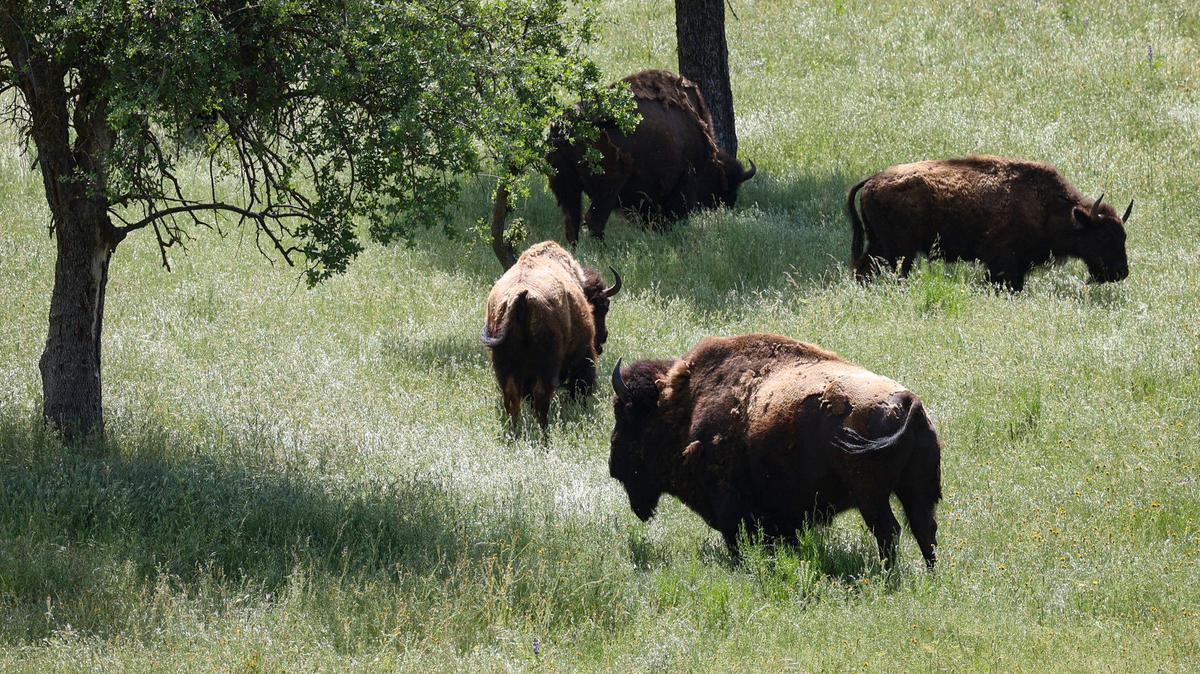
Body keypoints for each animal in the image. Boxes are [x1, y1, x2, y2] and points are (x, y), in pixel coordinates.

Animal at [482, 241, 621, 429]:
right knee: (541, 394)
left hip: (504, 360)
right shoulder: (583, 351)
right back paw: (544, 429)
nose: (604, 337)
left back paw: (515, 429)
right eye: (603, 307)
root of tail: (521, 296)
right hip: (547, 362)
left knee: (512, 396)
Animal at [547, 69, 756, 244]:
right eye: (727, 187)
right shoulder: (684, 184)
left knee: (572, 221)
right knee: (594, 220)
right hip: (608, 187)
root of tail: (568, 124)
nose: (729, 206)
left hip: (567, 186)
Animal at [609, 333, 942, 568]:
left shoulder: (733, 506)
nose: (613, 466)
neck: (685, 406)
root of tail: (907, 402)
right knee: (924, 529)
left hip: (870, 495)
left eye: (626, 416)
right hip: (915, 490)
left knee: (889, 531)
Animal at [847, 155, 1132, 291]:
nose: (1120, 272)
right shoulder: (1002, 263)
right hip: (898, 251)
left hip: (881, 247)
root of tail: (873, 180)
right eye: (1102, 237)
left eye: (1123, 236)